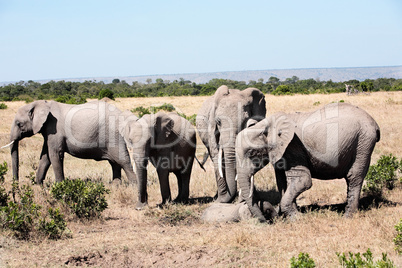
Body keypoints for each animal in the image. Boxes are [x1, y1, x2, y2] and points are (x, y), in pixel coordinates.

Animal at [6, 99, 137, 186]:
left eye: (19, 124)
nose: (16, 183)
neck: (40, 104)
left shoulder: (55, 130)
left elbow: (55, 154)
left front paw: (60, 186)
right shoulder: (48, 132)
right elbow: (45, 156)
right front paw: (38, 186)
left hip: (114, 135)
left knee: (123, 160)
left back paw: (133, 186)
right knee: (114, 162)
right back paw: (115, 186)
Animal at [237, 102, 382, 222]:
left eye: (252, 154)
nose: (267, 221)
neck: (267, 124)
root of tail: (375, 124)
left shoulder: (292, 147)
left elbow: (303, 180)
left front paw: (297, 219)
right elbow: (282, 182)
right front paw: (289, 216)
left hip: (363, 142)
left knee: (354, 177)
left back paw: (347, 217)